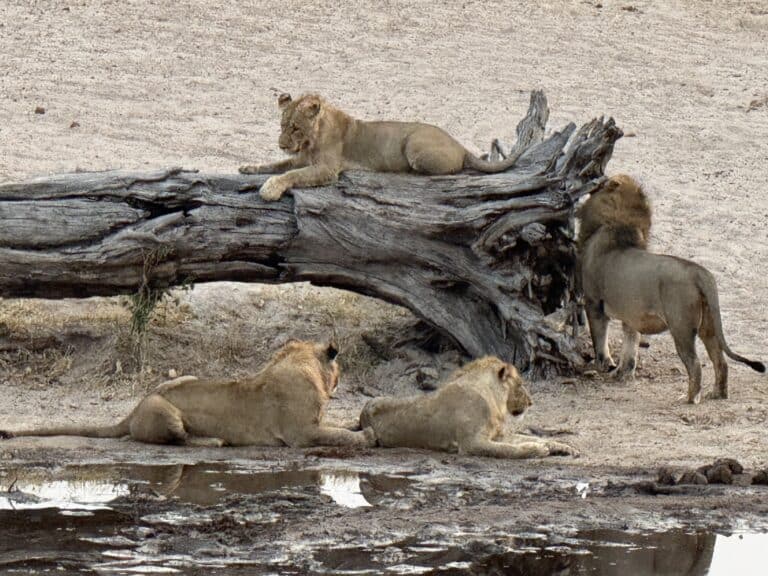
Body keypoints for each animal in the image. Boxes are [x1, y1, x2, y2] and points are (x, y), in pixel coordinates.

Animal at [1, 340, 374, 448]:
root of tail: (133, 408)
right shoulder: (301, 434)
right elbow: (338, 436)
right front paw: (367, 435)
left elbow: (340, 425)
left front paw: (359, 424)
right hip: (165, 410)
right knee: (179, 440)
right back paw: (215, 441)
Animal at [239, 92, 525, 201]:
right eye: (282, 125)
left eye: (295, 128)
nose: (281, 143)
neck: (311, 140)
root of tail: (459, 143)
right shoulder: (301, 159)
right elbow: (275, 164)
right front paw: (248, 167)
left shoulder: (327, 169)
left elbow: (290, 174)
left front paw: (270, 189)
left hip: (414, 147)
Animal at [359, 356, 578, 458]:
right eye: (521, 384)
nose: (531, 402)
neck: (493, 399)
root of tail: (363, 410)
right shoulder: (471, 443)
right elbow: (508, 450)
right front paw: (537, 450)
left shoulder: (497, 435)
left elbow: (530, 438)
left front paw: (564, 447)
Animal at [577, 174, 765, 403]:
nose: (597, 178)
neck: (612, 223)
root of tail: (699, 272)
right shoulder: (631, 313)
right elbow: (630, 346)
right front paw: (622, 374)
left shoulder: (594, 301)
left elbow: (600, 338)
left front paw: (604, 365)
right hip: (709, 327)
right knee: (720, 361)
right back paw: (717, 394)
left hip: (681, 326)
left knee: (695, 365)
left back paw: (690, 398)